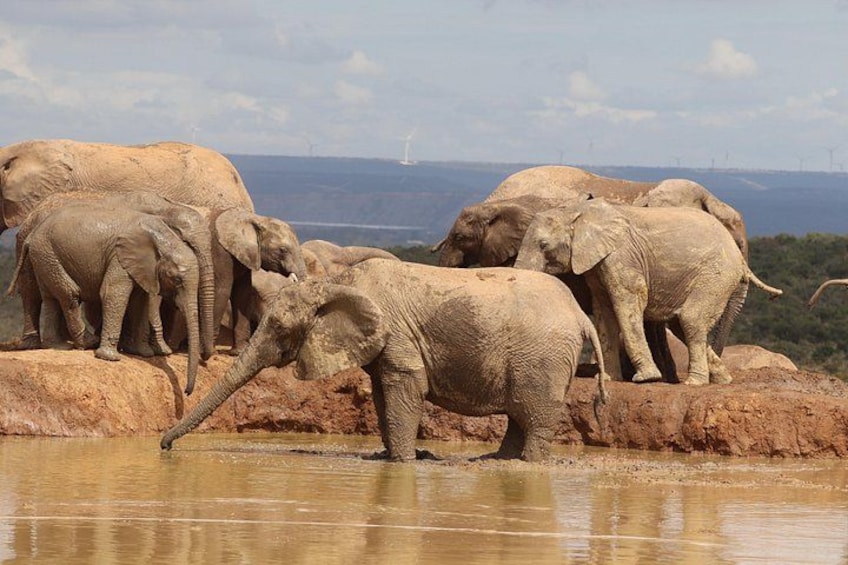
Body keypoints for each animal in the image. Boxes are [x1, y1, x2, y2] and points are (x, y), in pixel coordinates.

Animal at [8, 204, 203, 394]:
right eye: (176, 279)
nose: (187, 392)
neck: (163, 237)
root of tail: (32, 235)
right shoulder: (118, 258)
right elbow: (112, 293)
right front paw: (110, 358)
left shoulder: (141, 267)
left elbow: (141, 301)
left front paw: (143, 353)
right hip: (47, 254)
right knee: (69, 293)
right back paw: (87, 342)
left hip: (44, 257)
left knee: (51, 297)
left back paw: (59, 346)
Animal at [161, 259, 609, 462]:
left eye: (280, 329)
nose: (164, 446)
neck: (338, 280)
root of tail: (581, 316)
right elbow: (381, 396)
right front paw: (391, 457)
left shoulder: (398, 338)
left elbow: (403, 391)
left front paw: (404, 461)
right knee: (521, 415)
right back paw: (498, 461)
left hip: (543, 359)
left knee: (534, 414)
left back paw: (526, 464)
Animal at [514, 199, 782, 386]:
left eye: (543, 245)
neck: (576, 211)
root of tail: (740, 260)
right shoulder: (597, 263)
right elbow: (604, 311)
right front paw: (609, 379)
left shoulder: (622, 256)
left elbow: (628, 303)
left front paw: (646, 379)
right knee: (682, 323)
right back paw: (723, 380)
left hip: (716, 275)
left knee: (691, 319)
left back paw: (694, 383)